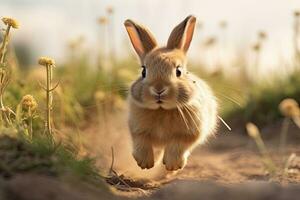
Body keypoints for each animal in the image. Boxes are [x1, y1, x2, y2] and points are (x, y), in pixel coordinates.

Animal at [124, 15, 218, 171]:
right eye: (143, 71)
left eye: (178, 71)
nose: (159, 89)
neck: (162, 110)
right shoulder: (137, 130)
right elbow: (142, 142)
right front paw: (145, 164)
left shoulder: (189, 133)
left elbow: (178, 145)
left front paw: (172, 165)